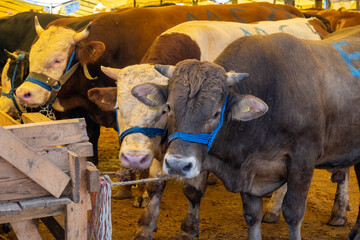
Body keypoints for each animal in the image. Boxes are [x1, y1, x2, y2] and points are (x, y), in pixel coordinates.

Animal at [86, 18, 330, 238]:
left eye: (163, 111)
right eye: (117, 108)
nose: (134, 158)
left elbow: (192, 190)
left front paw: (189, 229)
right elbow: (155, 184)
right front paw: (146, 227)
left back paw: (276, 209)